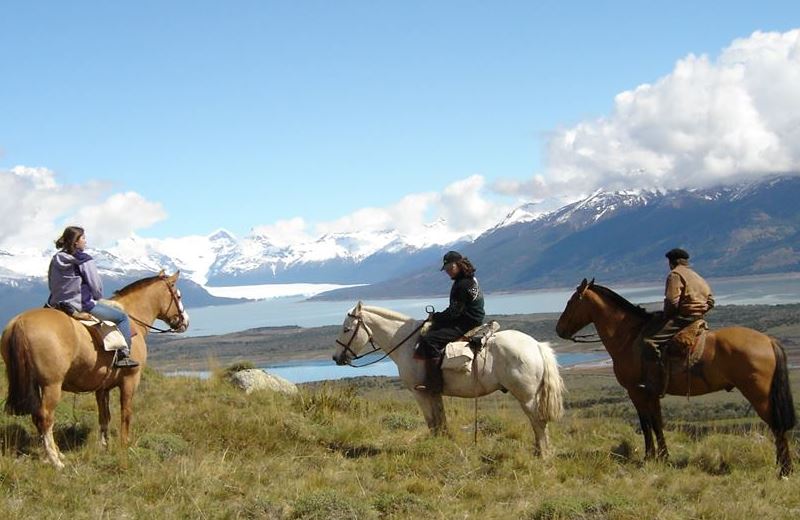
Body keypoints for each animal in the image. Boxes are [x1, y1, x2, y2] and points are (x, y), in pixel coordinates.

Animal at [1, 271, 189, 468]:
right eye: (178, 296)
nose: (185, 322)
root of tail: (20, 322)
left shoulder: (102, 387)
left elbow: (104, 416)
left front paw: (104, 445)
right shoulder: (130, 380)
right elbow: (126, 413)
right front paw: (125, 445)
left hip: (35, 385)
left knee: (36, 417)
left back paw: (55, 454)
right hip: (51, 385)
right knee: (45, 417)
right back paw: (55, 460)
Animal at [332, 302, 565, 456]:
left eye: (346, 329)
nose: (336, 358)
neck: (408, 344)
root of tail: (536, 345)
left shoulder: (420, 392)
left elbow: (431, 421)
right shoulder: (434, 393)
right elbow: (440, 421)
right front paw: (445, 443)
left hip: (526, 396)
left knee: (538, 421)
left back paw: (542, 454)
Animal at [555, 278, 796, 477]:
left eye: (571, 301)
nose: (559, 329)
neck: (629, 338)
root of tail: (769, 340)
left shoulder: (636, 392)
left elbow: (645, 424)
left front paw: (649, 457)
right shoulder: (652, 394)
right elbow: (657, 423)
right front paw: (663, 456)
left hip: (759, 395)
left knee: (778, 426)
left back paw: (784, 470)